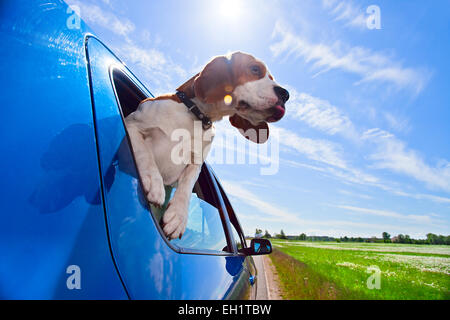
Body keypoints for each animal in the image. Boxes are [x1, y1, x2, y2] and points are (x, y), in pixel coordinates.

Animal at [125, 51, 290, 239]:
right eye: (255, 69)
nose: (286, 95)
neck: (195, 115)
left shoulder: (195, 163)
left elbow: (186, 187)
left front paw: (178, 216)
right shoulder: (131, 124)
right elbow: (144, 152)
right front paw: (153, 181)